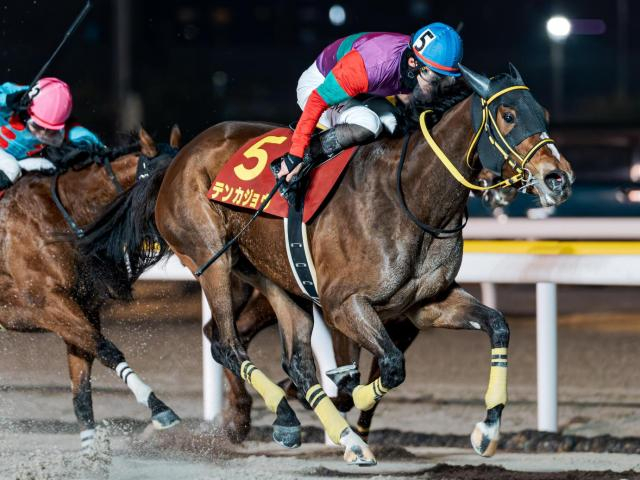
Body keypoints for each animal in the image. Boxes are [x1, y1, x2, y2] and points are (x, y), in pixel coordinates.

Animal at [0, 127, 182, 453]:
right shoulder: (46, 304)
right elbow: (106, 349)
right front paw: (159, 409)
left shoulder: (83, 308)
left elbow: (82, 391)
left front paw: (90, 456)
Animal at [79, 64, 574, 465]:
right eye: (508, 115)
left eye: (544, 113)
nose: (558, 177)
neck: (412, 196)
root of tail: (178, 158)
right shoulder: (343, 304)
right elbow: (387, 367)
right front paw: (347, 404)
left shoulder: (425, 304)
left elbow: (498, 326)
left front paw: (486, 430)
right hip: (209, 257)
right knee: (228, 343)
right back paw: (312, 425)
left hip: (272, 275)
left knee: (288, 356)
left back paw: (302, 423)